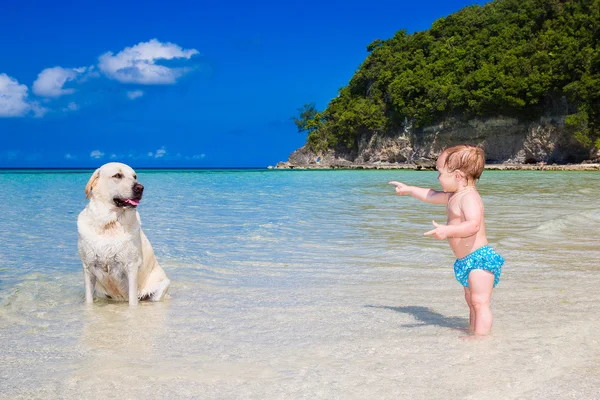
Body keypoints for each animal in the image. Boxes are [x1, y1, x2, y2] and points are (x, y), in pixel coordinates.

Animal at [78, 161, 170, 304]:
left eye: (134, 176)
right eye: (117, 175)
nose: (140, 188)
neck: (109, 224)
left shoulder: (131, 267)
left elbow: (133, 302)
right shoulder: (88, 267)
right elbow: (88, 301)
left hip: (162, 287)